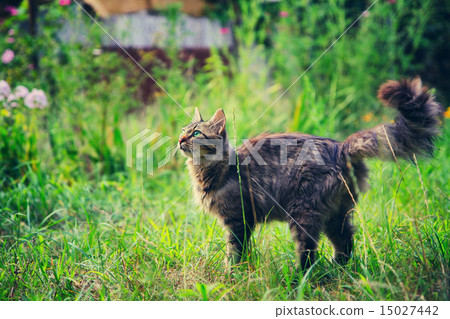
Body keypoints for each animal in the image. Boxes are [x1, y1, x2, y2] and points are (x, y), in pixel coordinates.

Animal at [178, 79, 442, 272]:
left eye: (196, 133)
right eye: (183, 130)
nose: (180, 140)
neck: (213, 170)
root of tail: (341, 148)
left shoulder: (238, 219)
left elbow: (234, 252)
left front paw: (230, 274)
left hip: (303, 212)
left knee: (309, 254)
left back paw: (300, 277)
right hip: (337, 214)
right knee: (346, 244)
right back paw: (337, 271)